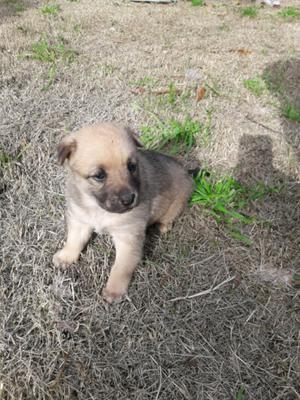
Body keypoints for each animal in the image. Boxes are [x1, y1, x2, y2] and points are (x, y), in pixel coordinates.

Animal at [52, 123, 193, 302]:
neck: (98, 208)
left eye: (131, 166)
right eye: (99, 175)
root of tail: (186, 171)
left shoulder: (128, 236)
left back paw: (163, 226)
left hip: (178, 201)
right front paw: (65, 257)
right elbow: (74, 241)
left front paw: (114, 291)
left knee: (169, 217)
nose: (129, 199)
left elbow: (121, 267)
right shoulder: (80, 221)